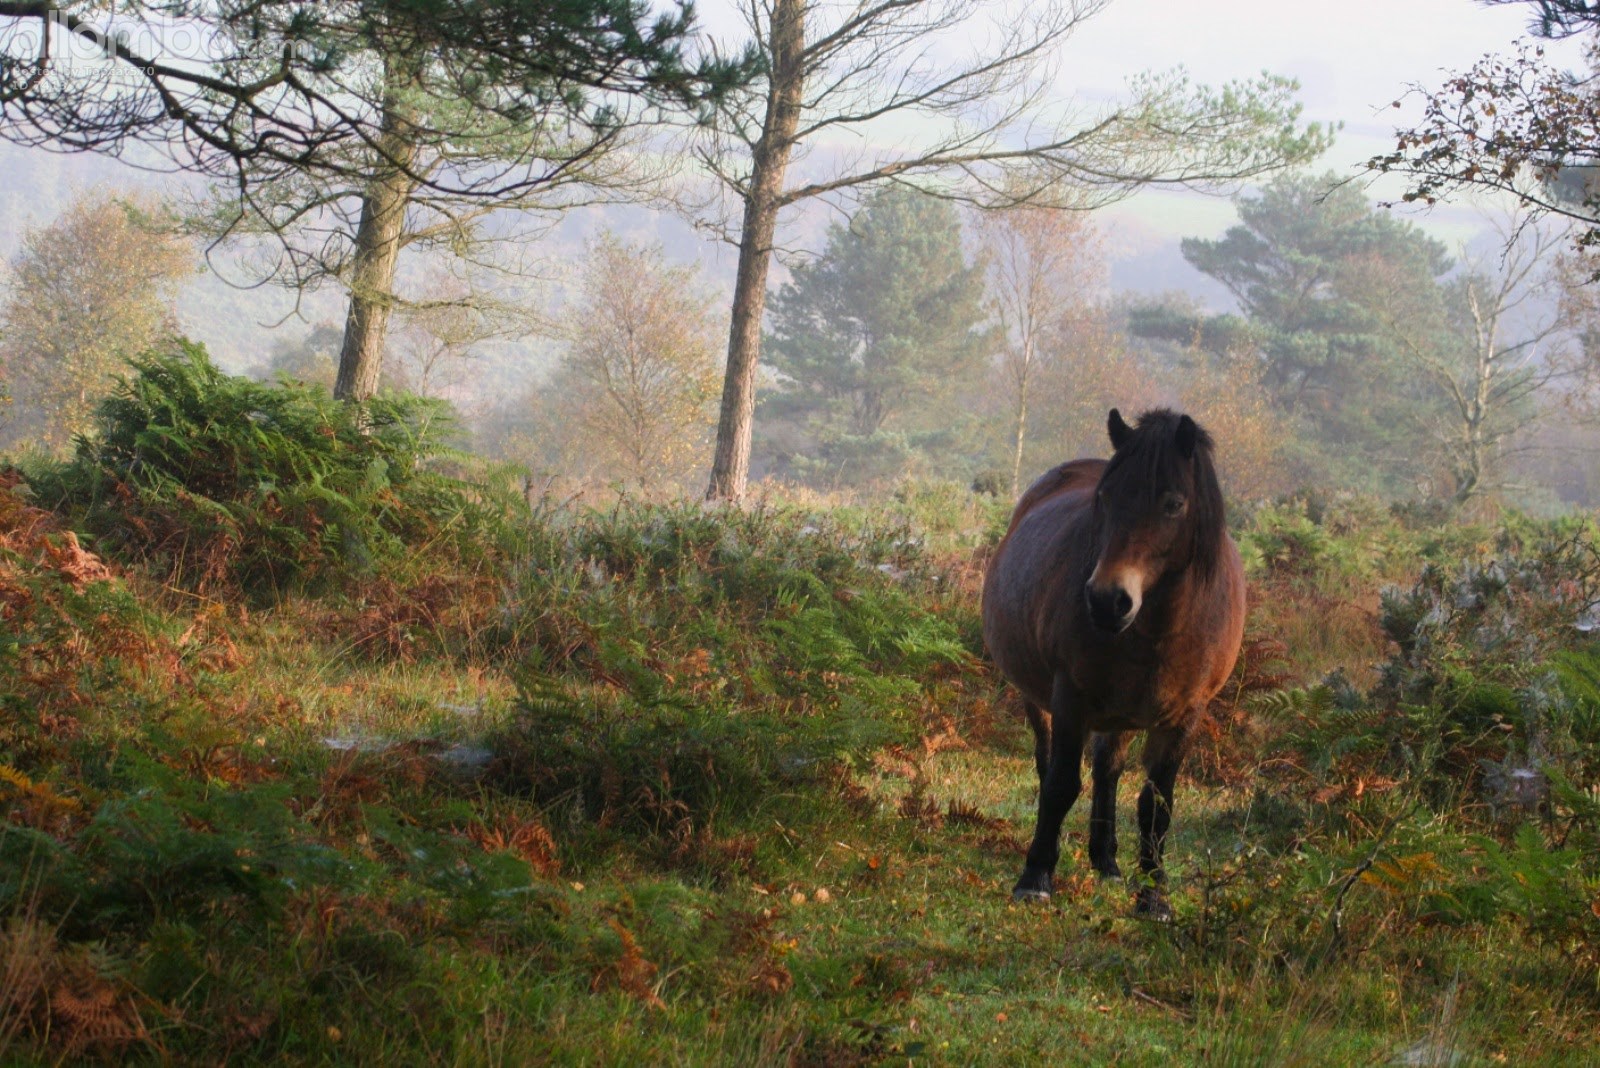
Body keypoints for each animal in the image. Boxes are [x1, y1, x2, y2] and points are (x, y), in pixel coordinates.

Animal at [982, 408, 1246, 919]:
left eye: (1173, 503)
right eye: (1105, 498)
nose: (1107, 601)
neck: (1160, 628)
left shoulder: (1184, 718)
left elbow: (1156, 807)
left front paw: (1154, 896)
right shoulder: (1070, 699)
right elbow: (1061, 784)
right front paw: (1035, 877)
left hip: (1123, 714)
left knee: (1107, 769)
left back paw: (1106, 861)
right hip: (1040, 699)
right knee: (1048, 765)